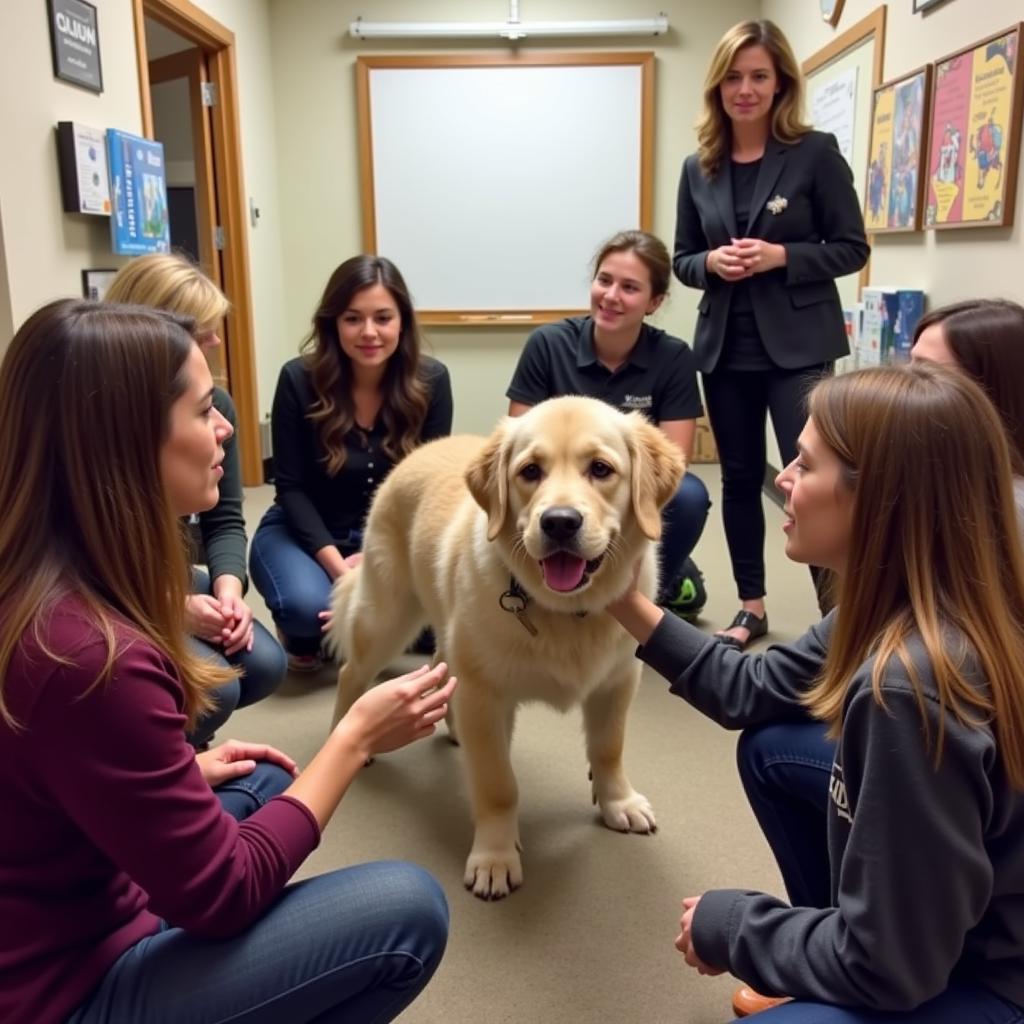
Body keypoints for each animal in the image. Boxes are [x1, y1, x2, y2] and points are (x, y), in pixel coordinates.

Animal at [327, 395, 679, 901]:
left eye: (601, 469)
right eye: (530, 471)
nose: (559, 523)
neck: (563, 611)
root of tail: (418, 452)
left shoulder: (617, 681)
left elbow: (609, 748)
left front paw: (618, 800)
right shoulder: (485, 697)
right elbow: (498, 785)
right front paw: (495, 857)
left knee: (440, 663)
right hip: (388, 616)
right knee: (351, 673)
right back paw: (348, 734)